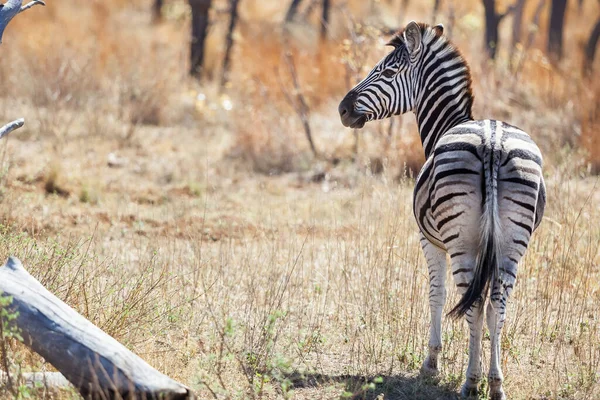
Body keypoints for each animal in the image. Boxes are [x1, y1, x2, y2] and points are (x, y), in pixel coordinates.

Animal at [340, 22, 548, 400]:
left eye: (387, 71)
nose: (342, 109)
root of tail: (492, 142)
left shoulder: (430, 241)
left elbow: (436, 294)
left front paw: (431, 363)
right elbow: (486, 306)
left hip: (460, 241)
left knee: (475, 305)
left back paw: (470, 382)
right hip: (513, 244)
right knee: (498, 304)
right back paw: (495, 383)